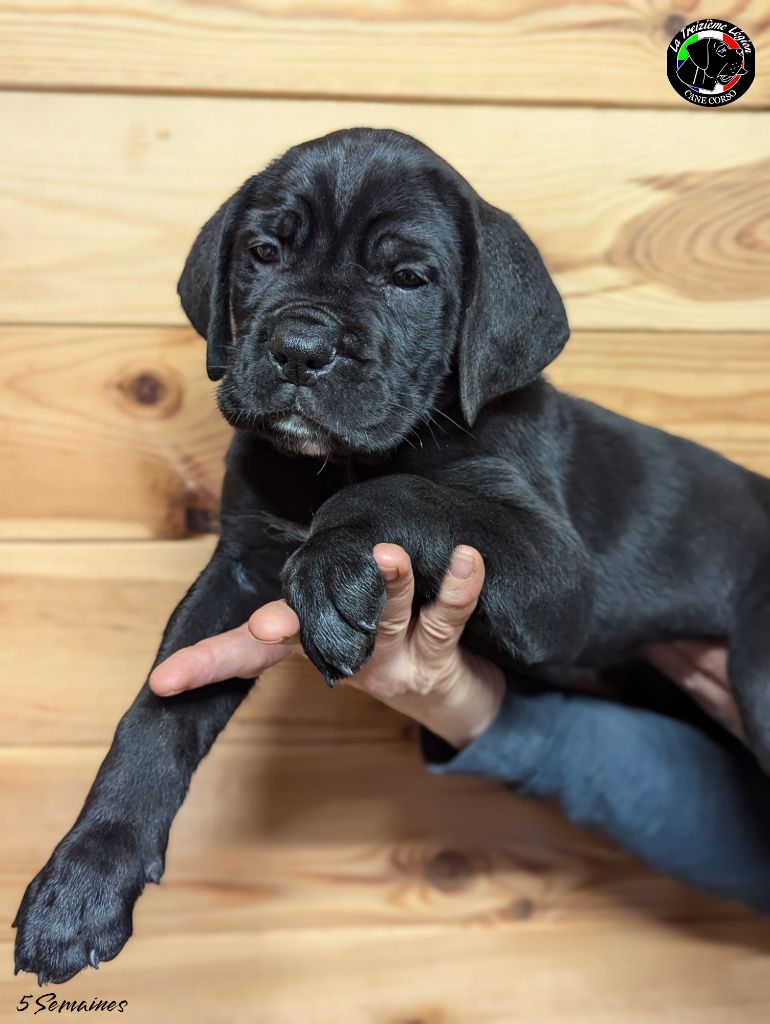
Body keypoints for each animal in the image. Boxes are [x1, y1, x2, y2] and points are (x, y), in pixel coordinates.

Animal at [12, 128, 770, 983]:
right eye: (263, 252)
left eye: (408, 278)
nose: (299, 348)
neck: (339, 461)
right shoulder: (239, 559)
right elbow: (158, 709)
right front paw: (83, 879)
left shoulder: (558, 572)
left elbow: (402, 492)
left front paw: (330, 566)